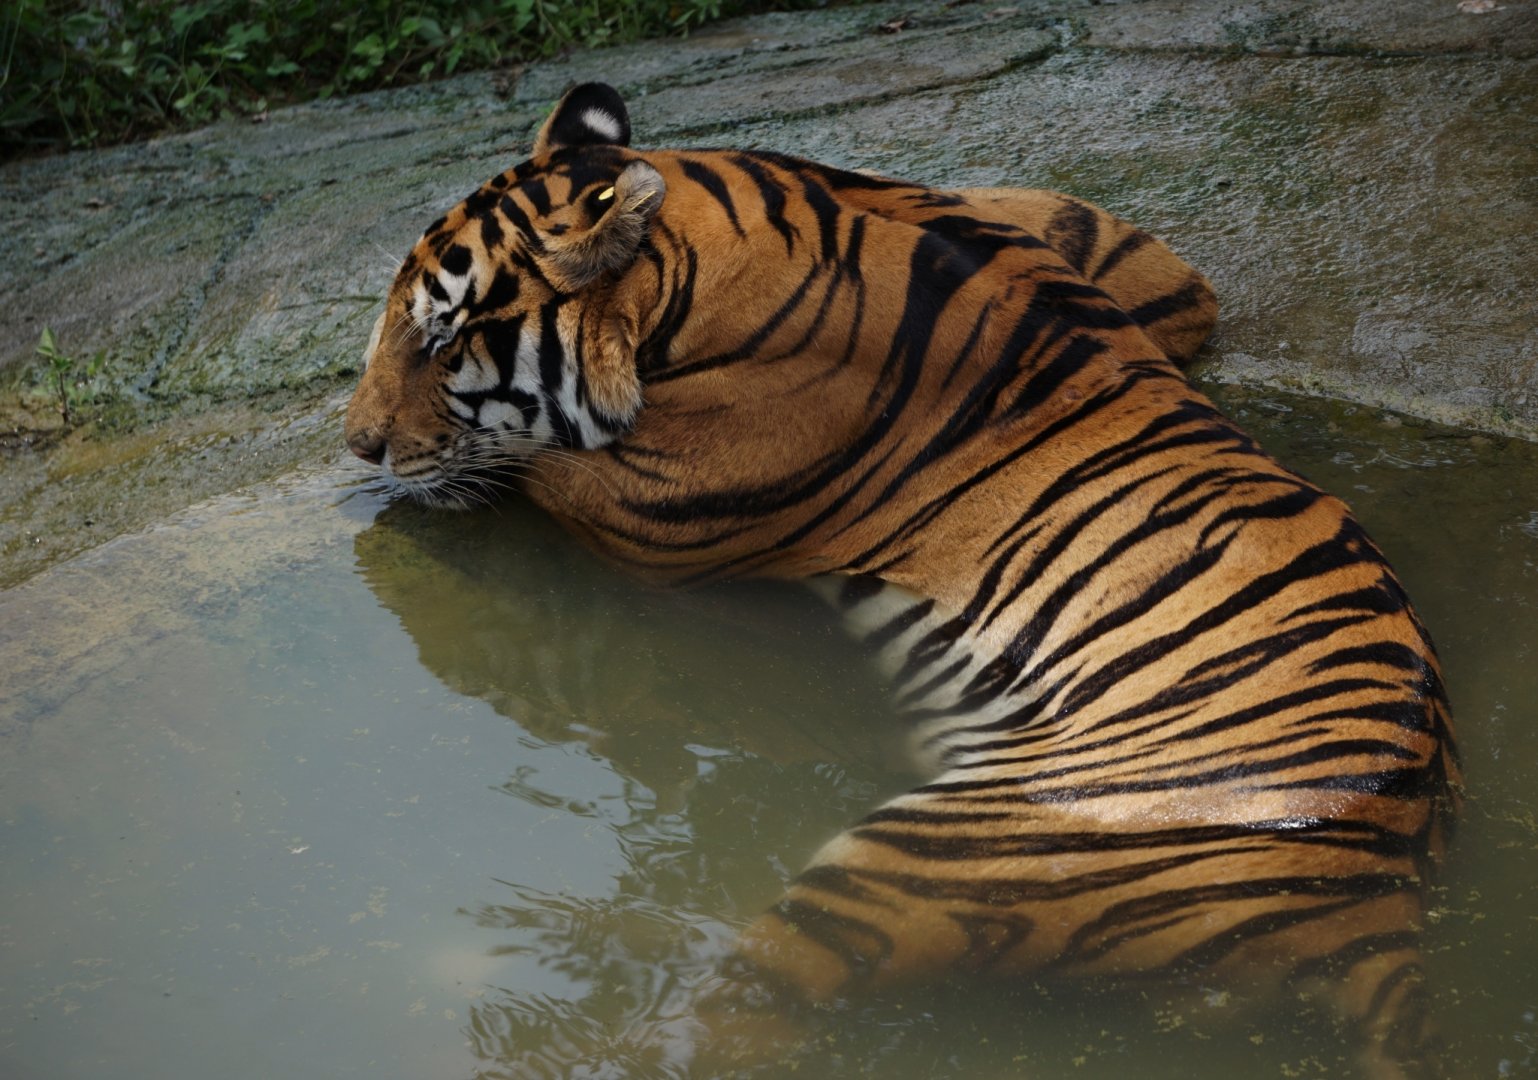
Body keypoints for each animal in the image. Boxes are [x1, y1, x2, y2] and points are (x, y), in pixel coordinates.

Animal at [344, 82, 1460, 1077]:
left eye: (442, 337)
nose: (357, 442)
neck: (714, 232)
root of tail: (1388, 899)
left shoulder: (648, 510)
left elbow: (524, 466)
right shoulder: (1097, 247)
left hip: (940, 858)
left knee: (741, 1017)